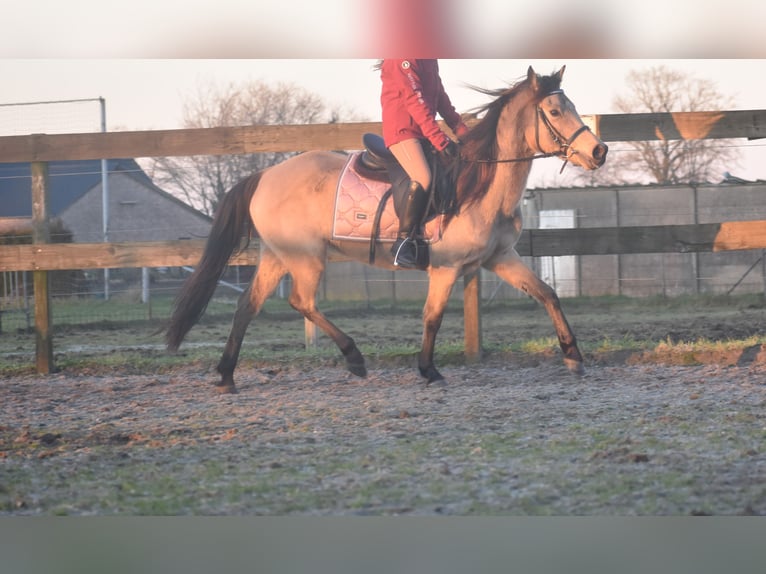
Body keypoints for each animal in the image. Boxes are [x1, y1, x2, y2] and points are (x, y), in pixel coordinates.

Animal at [165, 65, 608, 394]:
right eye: (555, 112)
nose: (599, 151)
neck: (480, 184)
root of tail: (265, 175)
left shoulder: (500, 258)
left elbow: (547, 294)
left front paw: (573, 356)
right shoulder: (446, 268)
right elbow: (432, 317)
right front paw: (428, 369)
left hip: (277, 256)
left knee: (248, 306)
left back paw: (226, 376)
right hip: (305, 258)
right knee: (301, 302)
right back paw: (354, 358)